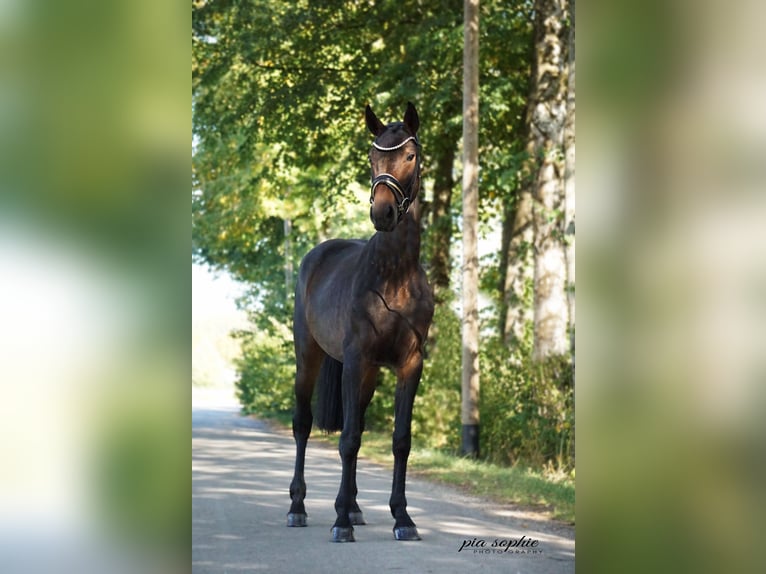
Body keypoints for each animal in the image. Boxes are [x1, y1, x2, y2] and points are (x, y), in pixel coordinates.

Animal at [286, 102, 434, 543]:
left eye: (411, 155)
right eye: (372, 157)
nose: (382, 213)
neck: (394, 277)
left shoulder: (409, 365)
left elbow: (400, 440)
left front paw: (403, 519)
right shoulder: (355, 361)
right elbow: (348, 440)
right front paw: (339, 523)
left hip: (367, 375)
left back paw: (353, 507)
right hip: (309, 357)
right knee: (302, 425)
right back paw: (299, 508)